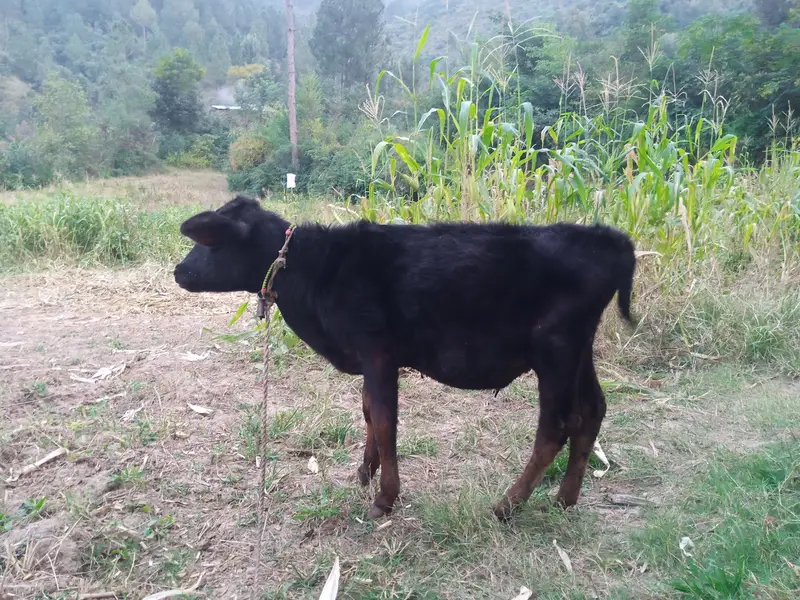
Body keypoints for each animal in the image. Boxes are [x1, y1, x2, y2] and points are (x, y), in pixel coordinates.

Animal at [174, 195, 637, 521]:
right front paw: (364, 473)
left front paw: (385, 497)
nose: (178, 271)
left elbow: (383, 420)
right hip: (578, 351)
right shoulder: (370, 359)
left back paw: (506, 506)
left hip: (554, 352)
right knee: (592, 411)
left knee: (555, 427)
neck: (316, 270)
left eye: (209, 242)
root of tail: (607, 239)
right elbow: (367, 412)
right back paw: (564, 500)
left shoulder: (379, 353)